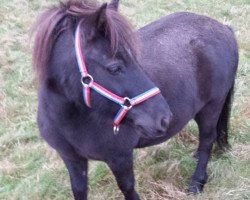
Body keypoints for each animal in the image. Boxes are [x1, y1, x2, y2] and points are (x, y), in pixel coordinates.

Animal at [32, 0, 237, 200]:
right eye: (114, 68)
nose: (164, 118)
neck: (73, 122)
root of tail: (224, 29)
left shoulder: (120, 158)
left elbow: (128, 188)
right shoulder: (72, 159)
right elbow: (79, 190)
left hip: (211, 107)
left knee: (207, 140)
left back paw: (197, 183)